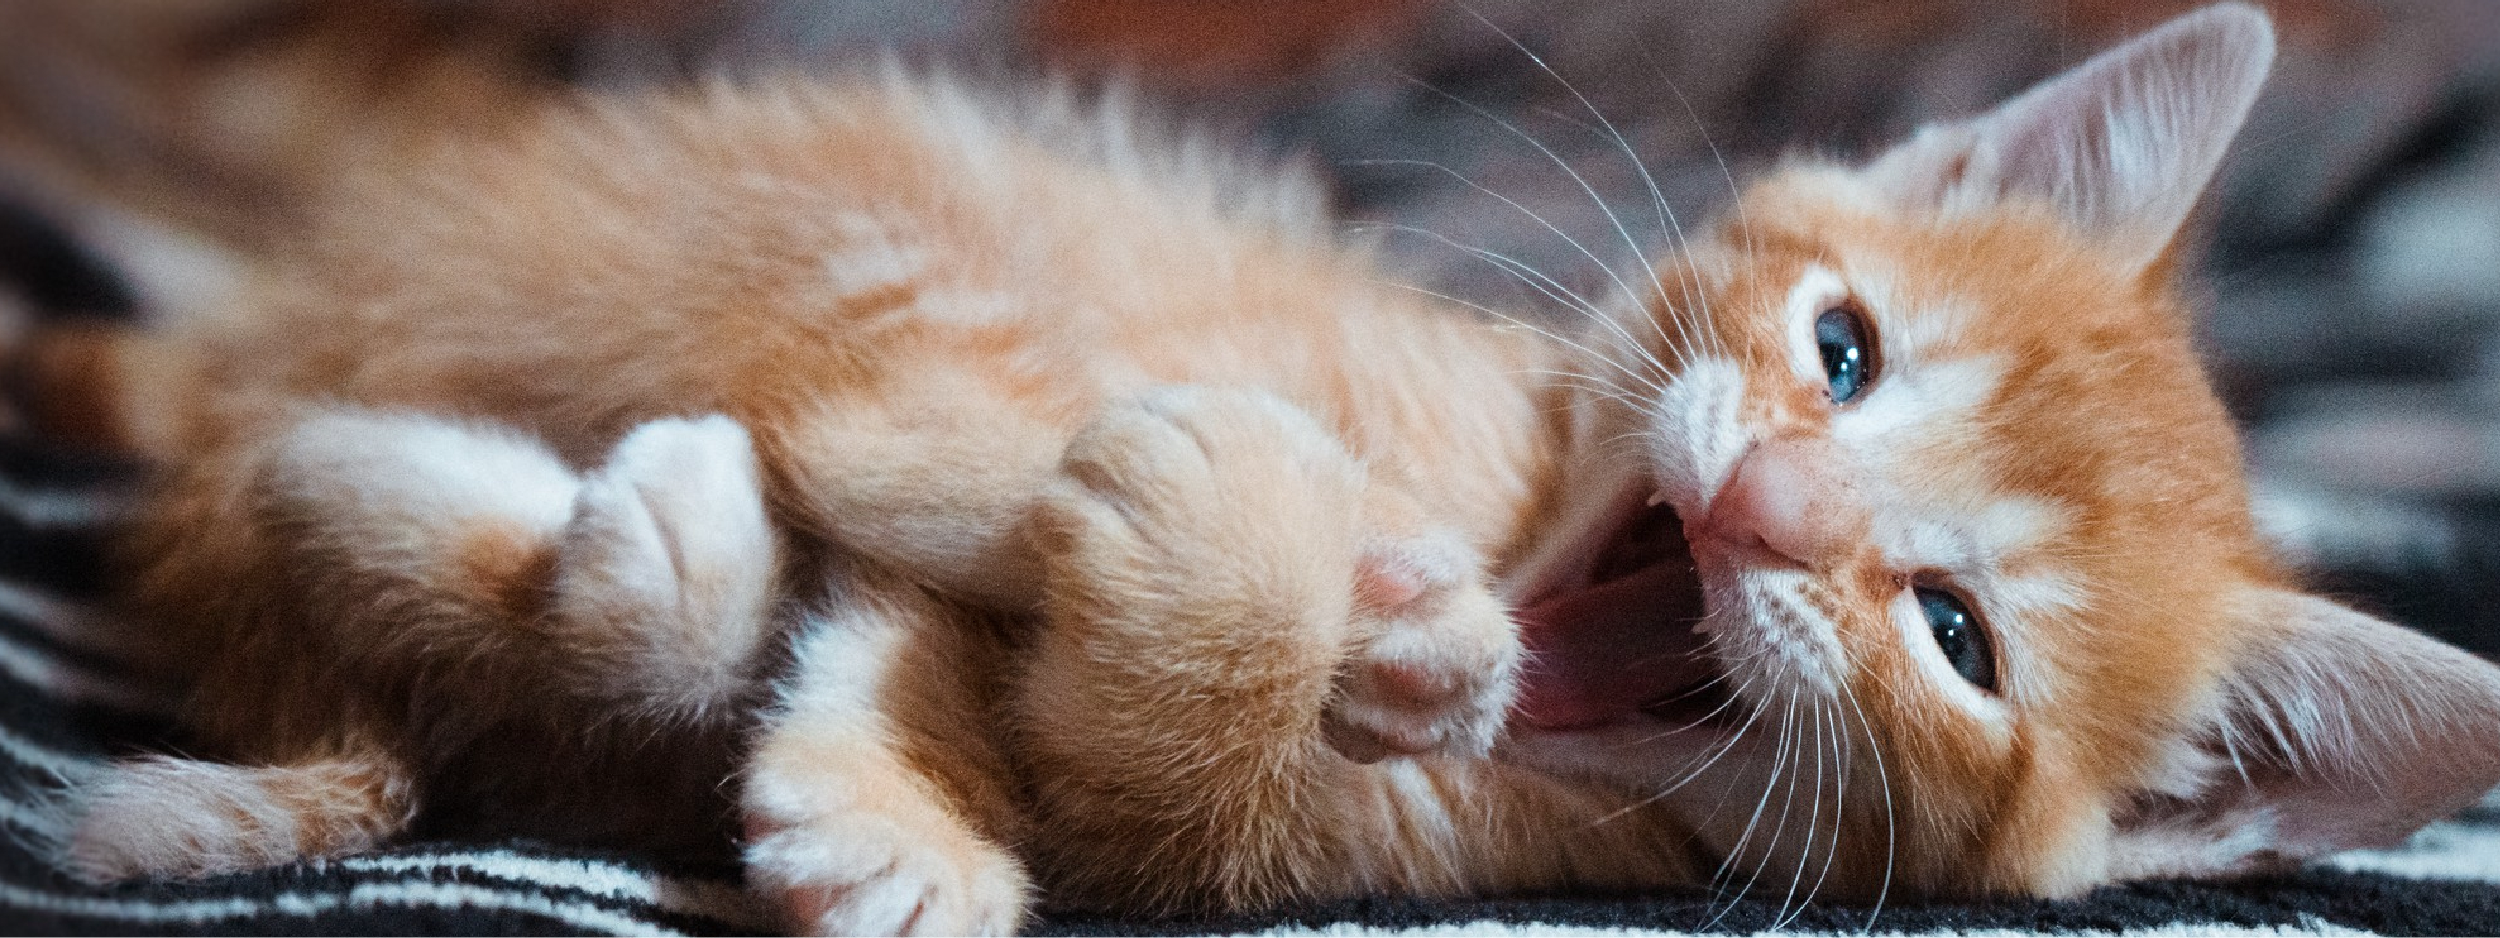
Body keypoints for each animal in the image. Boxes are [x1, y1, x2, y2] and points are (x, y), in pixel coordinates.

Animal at [34, 3, 2500, 935]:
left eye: (1963, 635)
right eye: (1841, 350)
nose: (1764, 516)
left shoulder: (1260, 839)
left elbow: (1059, 725)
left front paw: (891, 815)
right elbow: (968, 477)